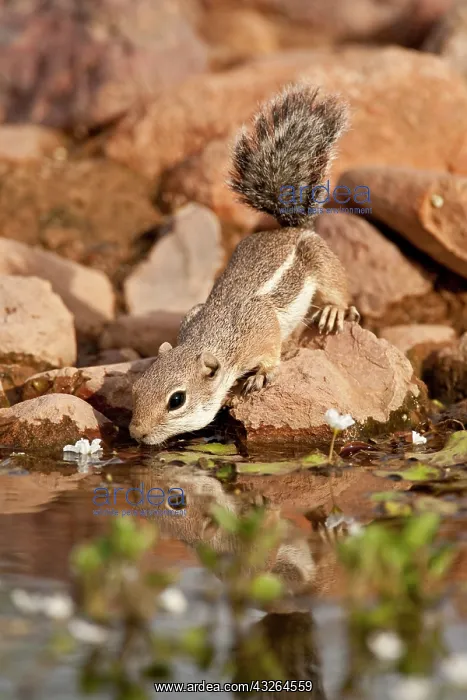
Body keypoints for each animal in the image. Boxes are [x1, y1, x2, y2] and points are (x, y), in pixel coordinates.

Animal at [130, 84, 360, 445]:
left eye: (176, 400)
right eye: (137, 387)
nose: (135, 433)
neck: (212, 338)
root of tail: (289, 228)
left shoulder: (262, 329)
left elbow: (270, 356)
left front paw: (260, 376)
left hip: (321, 262)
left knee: (337, 290)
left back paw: (332, 312)